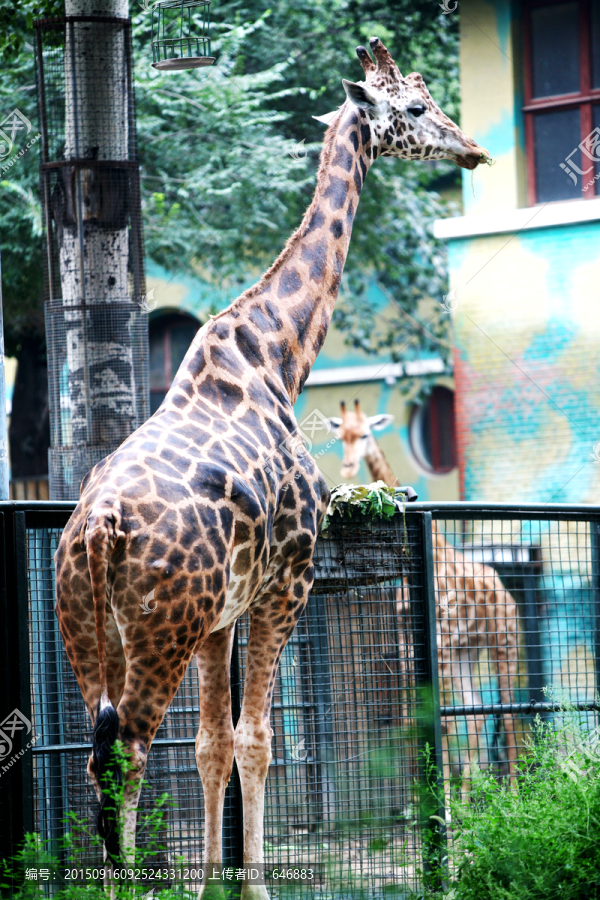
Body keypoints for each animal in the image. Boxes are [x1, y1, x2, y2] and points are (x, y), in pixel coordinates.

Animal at [328, 400, 520, 788]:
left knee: (507, 716)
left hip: (503, 643)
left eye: (366, 433)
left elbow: (440, 720)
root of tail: (505, 592)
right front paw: (424, 797)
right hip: (467, 653)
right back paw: (476, 794)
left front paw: (439, 799)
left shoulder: (440, 642)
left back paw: (512, 794)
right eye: (341, 436)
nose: (348, 466)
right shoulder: (409, 643)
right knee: (475, 713)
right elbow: (412, 717)